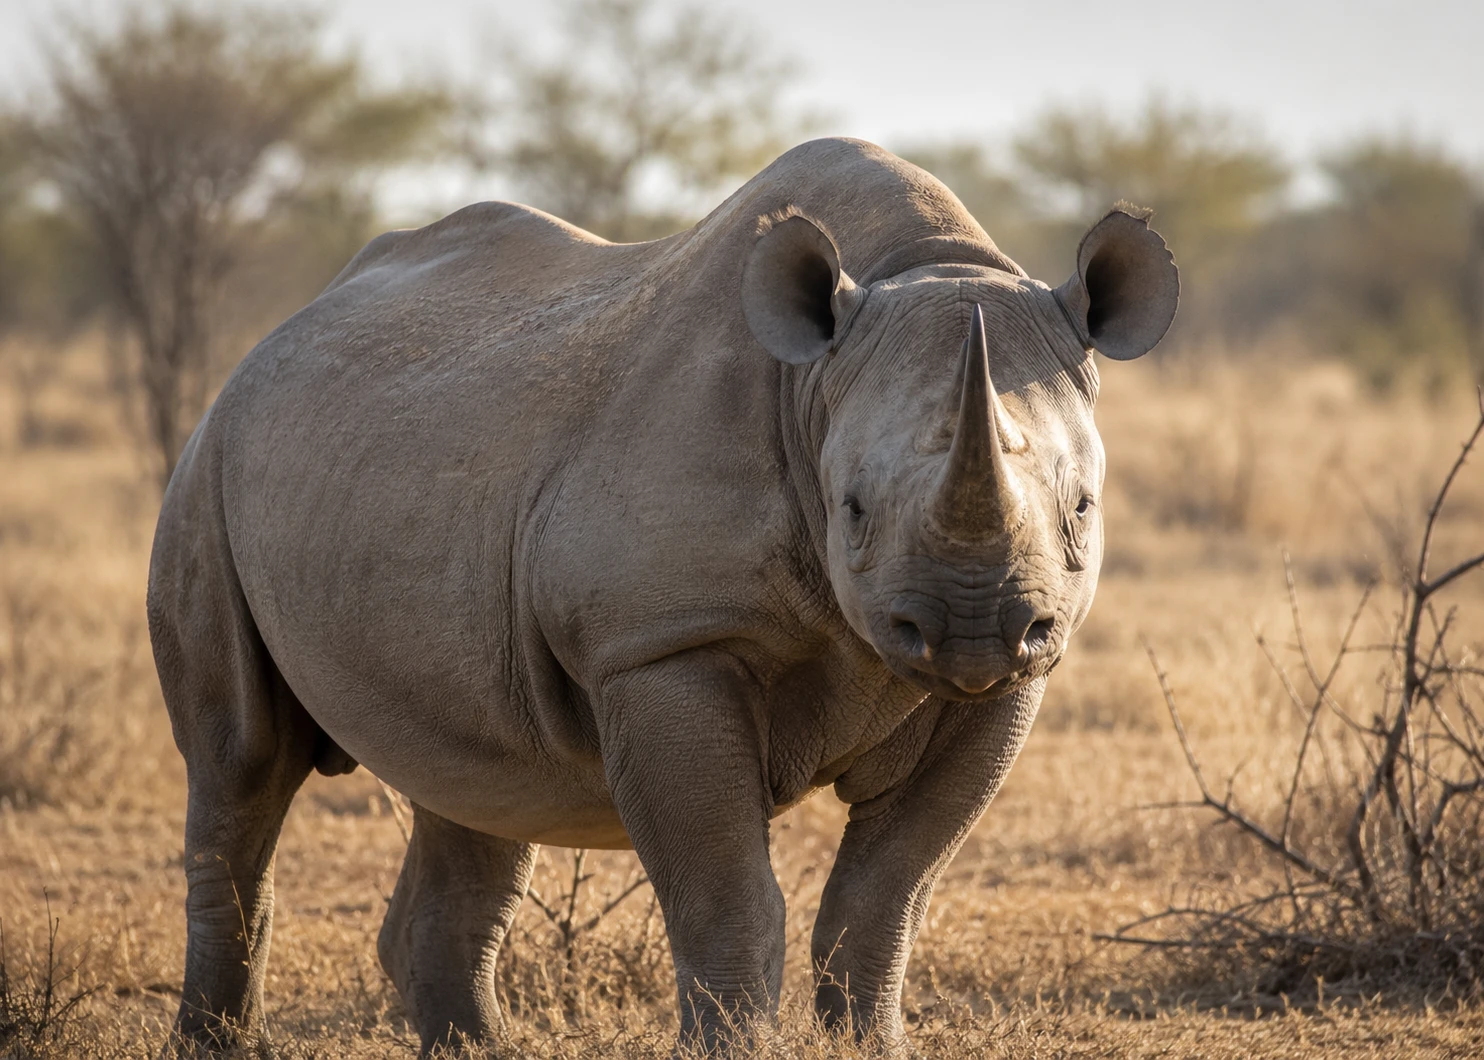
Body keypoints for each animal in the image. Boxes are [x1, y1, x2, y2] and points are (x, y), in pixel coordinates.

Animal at [147, 137, 1177, 1055]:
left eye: (1082, 509)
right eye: (852, 509)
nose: (971, 626)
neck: (816, 384)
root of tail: (277, 333)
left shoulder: (1012, 681)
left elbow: (884, 897)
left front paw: (873, 1045)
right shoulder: (659, 643)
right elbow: (728, 893)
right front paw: (732, 1047)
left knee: (474, 782)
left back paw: (477, 1046)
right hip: (208, 467)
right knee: (241, 759)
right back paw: (221, 1041)